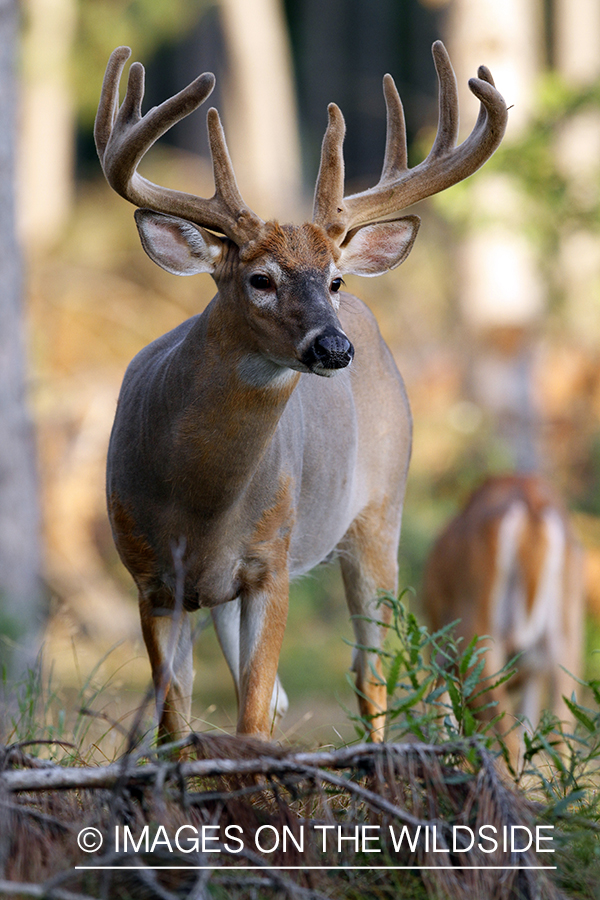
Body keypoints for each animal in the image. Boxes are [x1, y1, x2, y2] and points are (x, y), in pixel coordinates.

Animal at [94, 42, 506, 740]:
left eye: (333, 279)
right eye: (259, 279)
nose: (333, 348)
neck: (199, 505)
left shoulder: (272, 559)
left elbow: (254, 719)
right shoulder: (150, 576)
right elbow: (176, 726)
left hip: (380, 509)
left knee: (372, 672)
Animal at [424, 474, 584, 756]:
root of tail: (531, 504)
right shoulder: (534, 672)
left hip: (476, 637)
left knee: (505, 740)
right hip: (567, 639)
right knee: (558, 741)